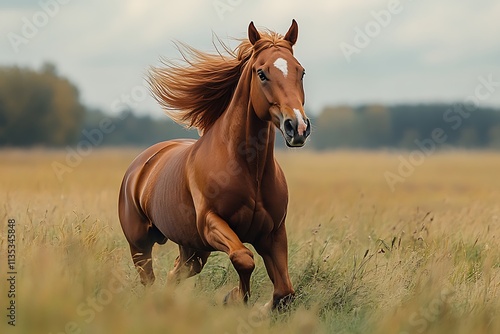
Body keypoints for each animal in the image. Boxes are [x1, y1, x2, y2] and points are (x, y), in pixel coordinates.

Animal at [118, 19, 310, 310]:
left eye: (301, 72)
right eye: (261, 73)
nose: (297, 127)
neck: (248, 170)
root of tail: (140, 165)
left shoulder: (274, 233)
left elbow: (284, 292)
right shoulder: (210, 223)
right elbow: (243, 258)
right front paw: (234, 297)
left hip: (192, 248)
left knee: (175, 273)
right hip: (141, 245)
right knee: (149, 279)